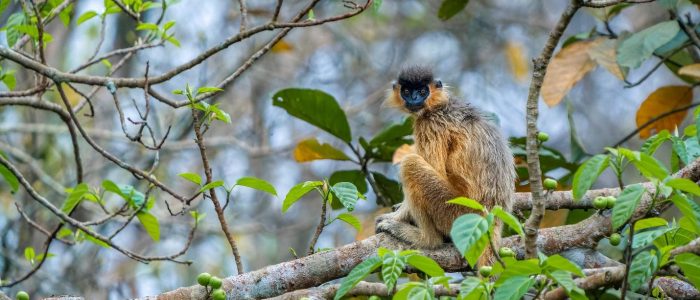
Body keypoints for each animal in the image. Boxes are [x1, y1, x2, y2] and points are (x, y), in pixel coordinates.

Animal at [378, 65, 516, 268]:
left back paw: (426, 239)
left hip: (456, 213)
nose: (414, 98)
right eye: (407, 91)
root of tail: (491, 220)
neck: (439, 105)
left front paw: (399, 216)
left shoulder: (430, 124)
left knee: (410, 164)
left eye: (422, 91)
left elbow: (435, 167)